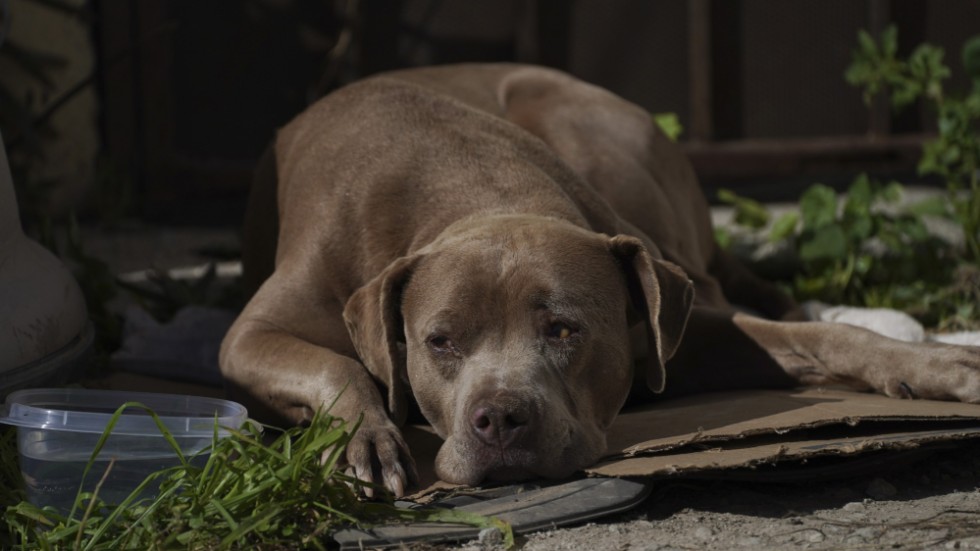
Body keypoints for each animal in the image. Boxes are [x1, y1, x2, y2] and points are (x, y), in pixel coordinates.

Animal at [220, 62, 980, 498]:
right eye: (439, 342)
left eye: (564, 330)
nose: (500, 418)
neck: (474, 194)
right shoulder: (251, 334)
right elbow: (338, 364)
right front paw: (367, 441)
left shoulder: (679, 329)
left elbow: (820, 338)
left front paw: (936, 365)